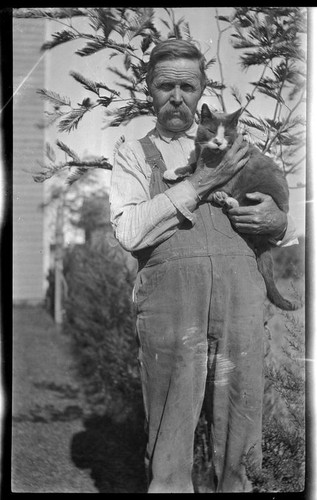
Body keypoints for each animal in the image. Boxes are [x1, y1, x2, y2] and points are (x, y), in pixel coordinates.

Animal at [162, 103, 298, 310]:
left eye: (225, 134)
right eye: (211, 131)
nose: (218, 142)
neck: (213, 154)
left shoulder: (231, 174)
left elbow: (201, 188)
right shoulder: (202, 161)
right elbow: (193, 167)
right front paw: (173, 171)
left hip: (257, 191)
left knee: (239, 203)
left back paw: (227, 199)